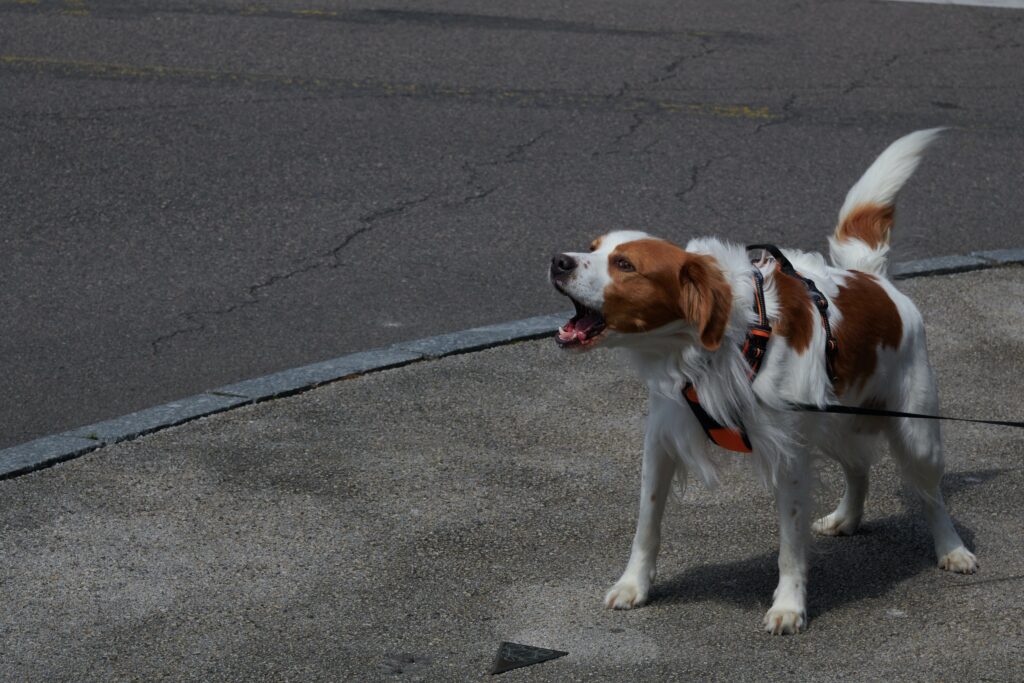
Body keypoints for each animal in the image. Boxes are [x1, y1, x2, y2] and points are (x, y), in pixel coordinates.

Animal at [548, 131, 978, 638]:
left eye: (624, 264)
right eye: (592, 247)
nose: (559, 261)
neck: (714, 345)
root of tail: (872, 278)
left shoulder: (788, 453)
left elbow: (790, 546)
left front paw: (789, 606)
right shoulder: (663, 437)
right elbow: (647, 523)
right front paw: (634, 585)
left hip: (915, 433)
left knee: (932, 495)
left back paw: (952, 549)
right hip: (833, 424)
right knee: (859, 468)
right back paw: (847, 518)